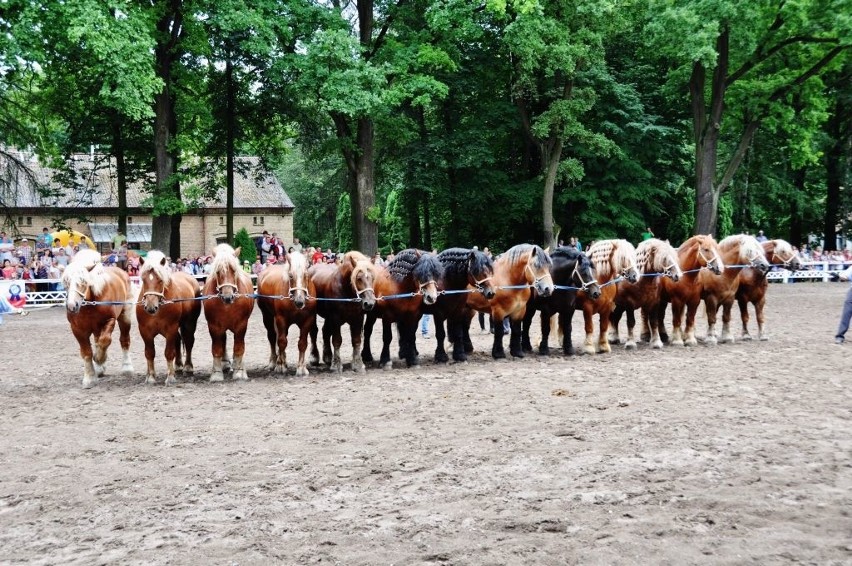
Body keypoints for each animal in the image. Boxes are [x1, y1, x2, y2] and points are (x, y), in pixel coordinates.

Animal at [63, 250, 134, 390]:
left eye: (83, 281)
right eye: (67, 282)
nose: (72, 306)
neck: (90, 303)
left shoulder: (109, 320)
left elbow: (105, 341)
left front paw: (100, 358)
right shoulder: (77, 329)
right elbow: (87, 352)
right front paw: (90, 378)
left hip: (124, 317)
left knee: (124, 340)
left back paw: (126, 367)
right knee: (97, 341)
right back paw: (99, 368)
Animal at [136, 252, 203, 386]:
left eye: (160, 280)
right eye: (143, 279)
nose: (150, 306)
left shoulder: (170, 328)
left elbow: (168, 352)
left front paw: (170, 377)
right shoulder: (144, 331)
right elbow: (150, 353)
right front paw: (151, 377)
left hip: (189, 323)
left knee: (188, 341)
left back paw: (188, 367)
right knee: (178, 340)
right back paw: (178, 366)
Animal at [201, 243, 255, 382]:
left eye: (234, 270)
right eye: (217, 271)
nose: (227, 297)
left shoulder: (241, 325)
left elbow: (239, 347)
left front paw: (239, 372)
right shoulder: (214, 326)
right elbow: (217, 348)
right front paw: (216, 373)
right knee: (223, 340)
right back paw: (225, 364)